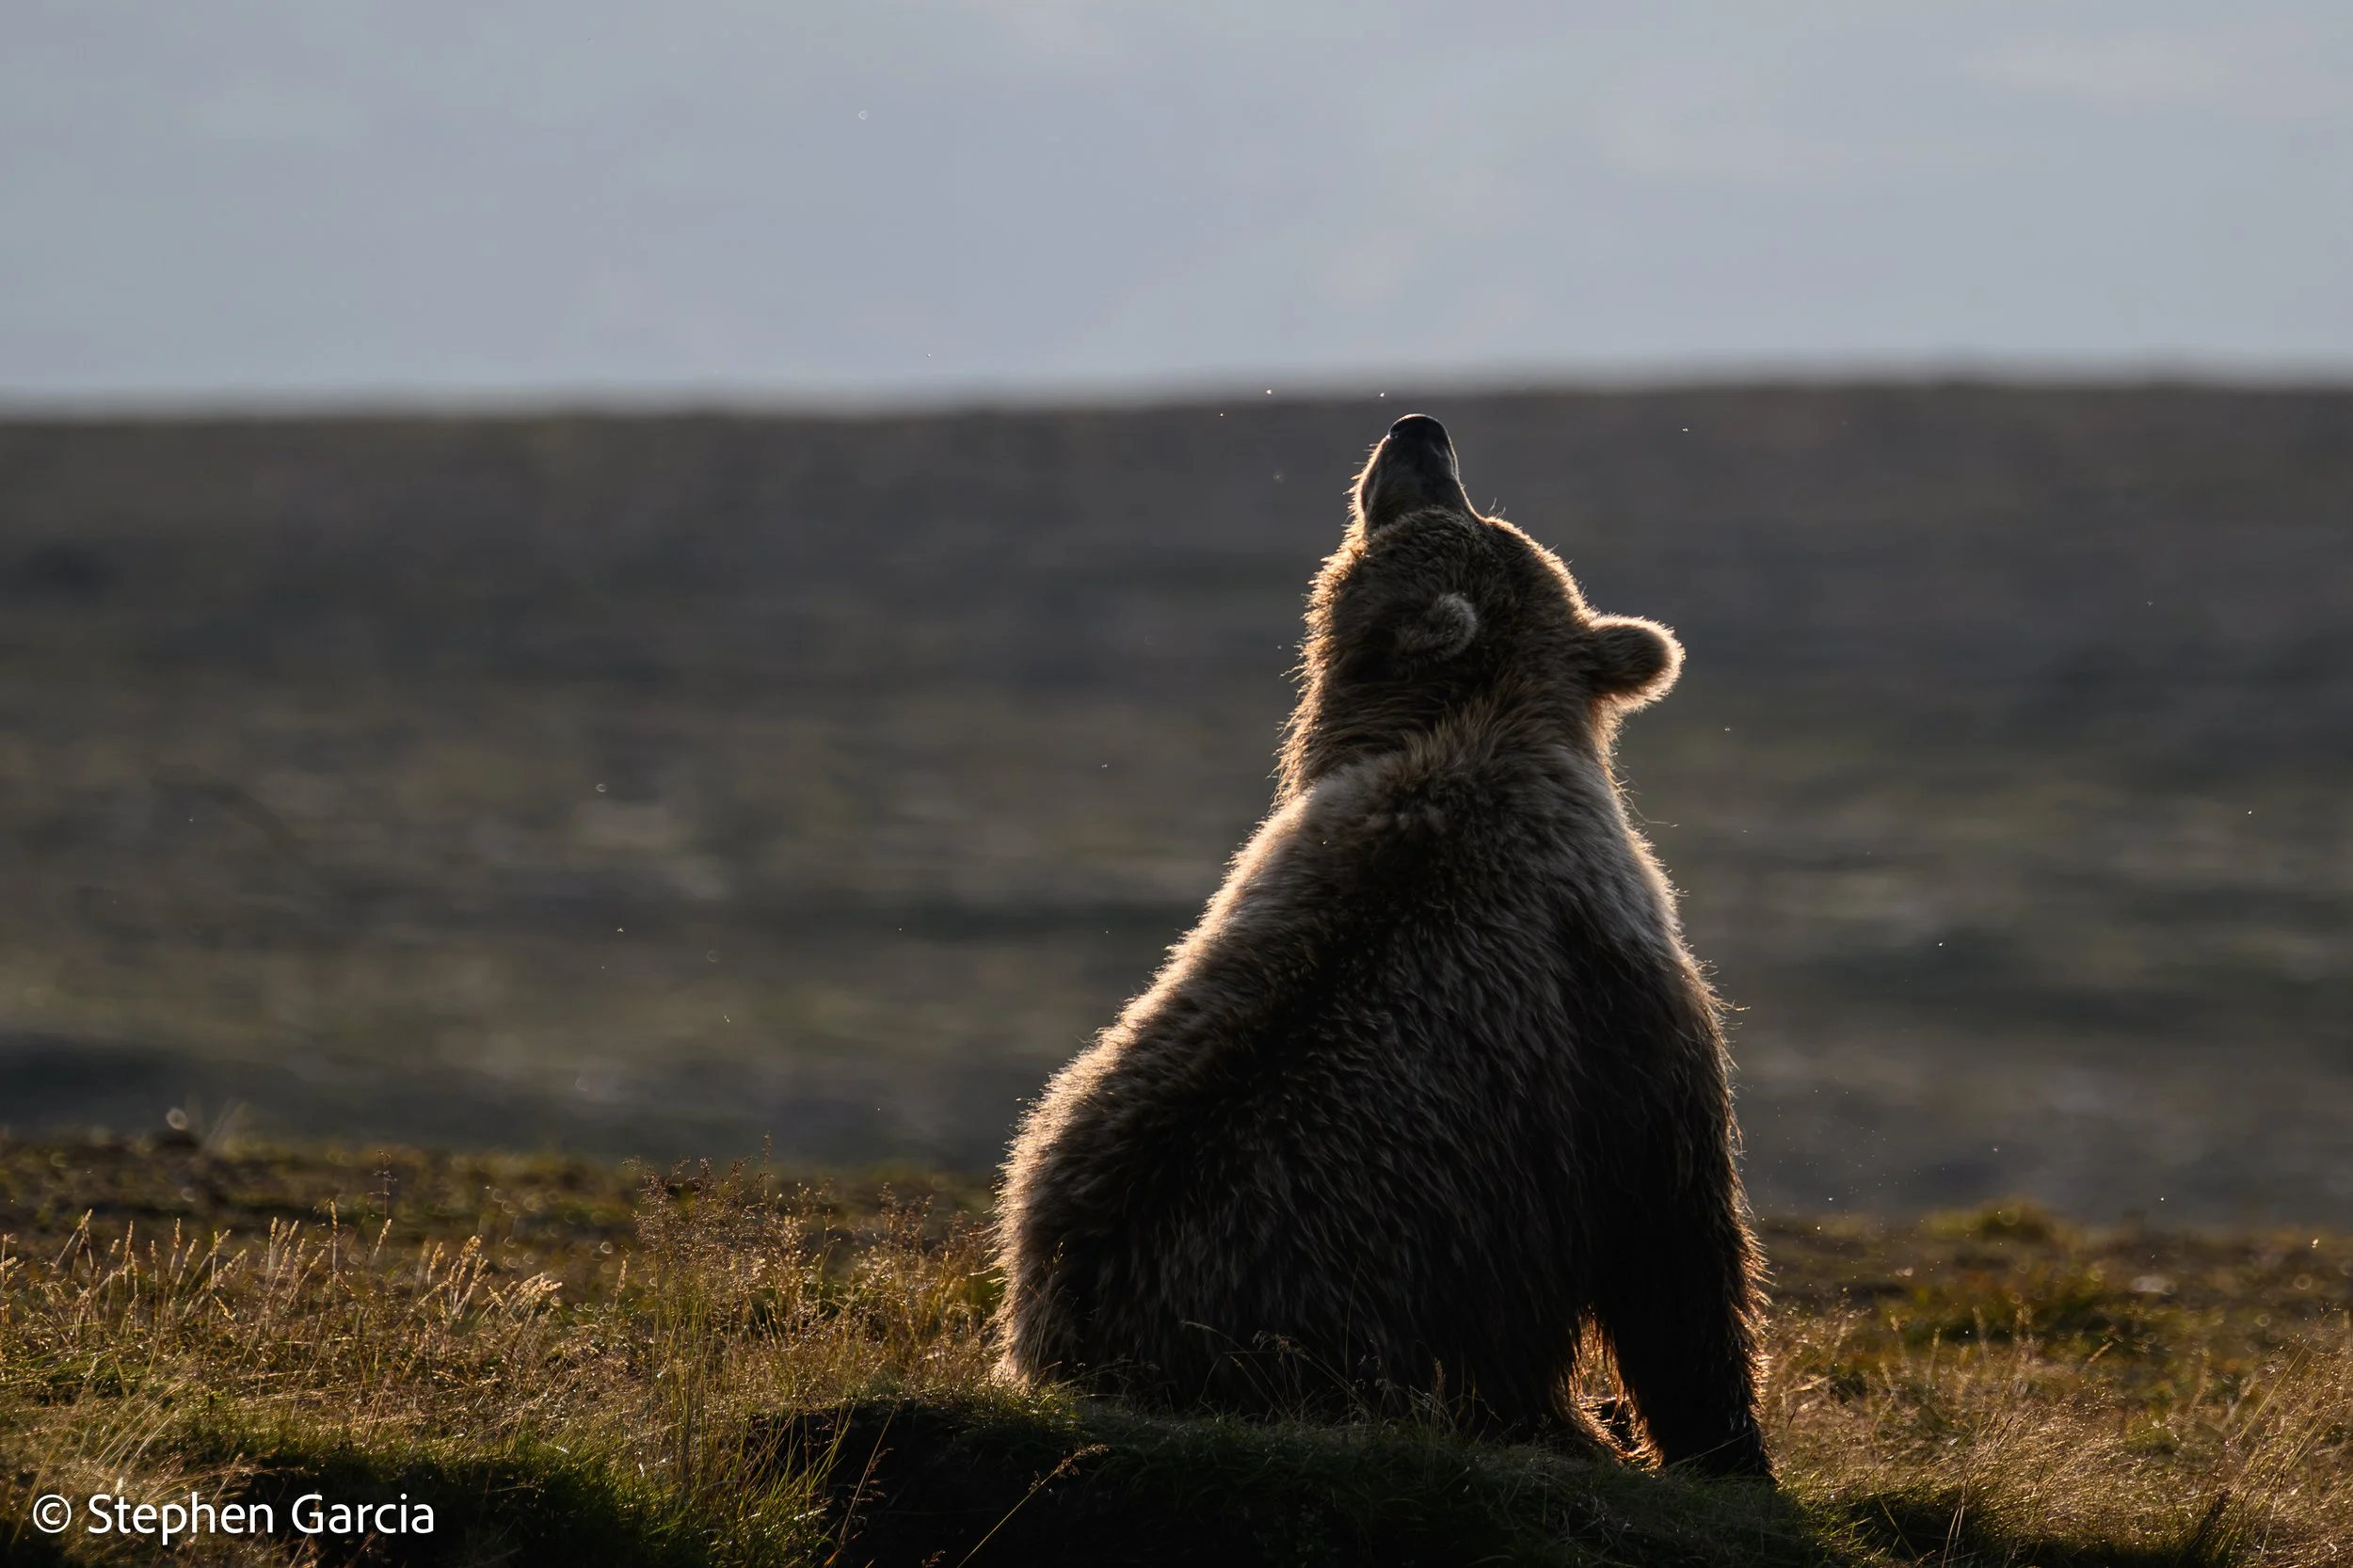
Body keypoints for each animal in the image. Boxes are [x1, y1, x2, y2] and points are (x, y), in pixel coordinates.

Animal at [993, 414, 1771, 1479]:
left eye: (1463, 503)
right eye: (1435, 509)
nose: (1418, 431)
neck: (1468, 730)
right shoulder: (1609, 991)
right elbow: (1676, 1237)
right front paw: (1726, 1447)